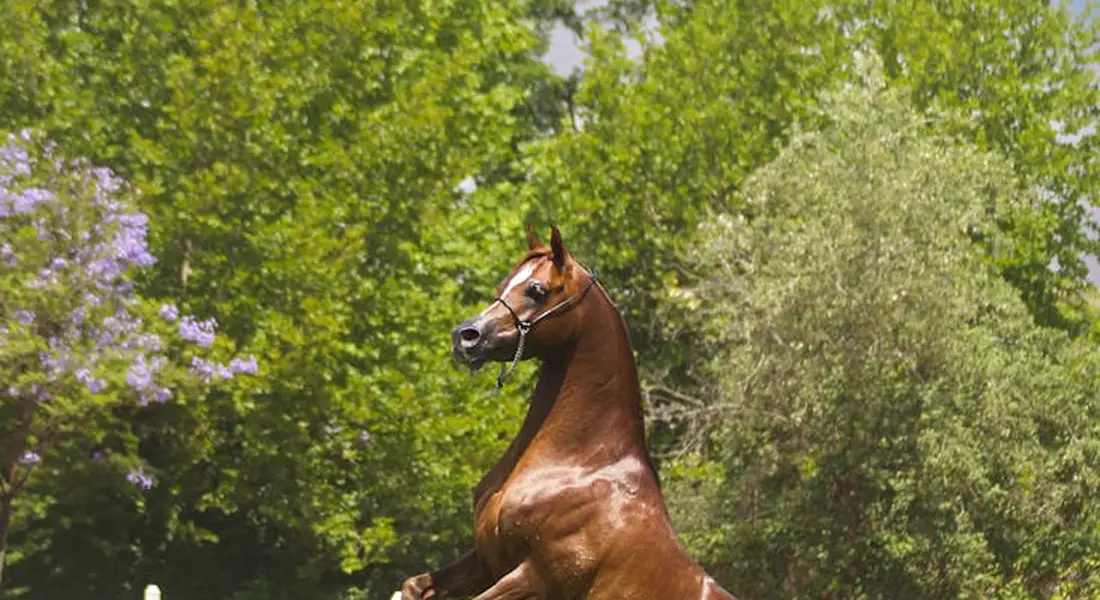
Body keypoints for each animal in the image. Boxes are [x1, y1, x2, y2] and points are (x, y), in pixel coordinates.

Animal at [399, 226, 737, 600]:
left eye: (537, 290)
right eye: (503, 285)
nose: (465, 337)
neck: (577, 465)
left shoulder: (536, 578)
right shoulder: (486, 560)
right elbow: (412, 586)